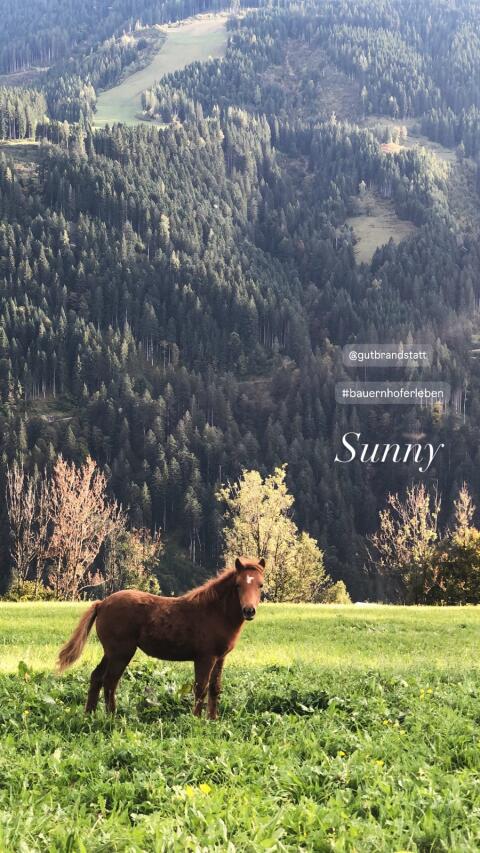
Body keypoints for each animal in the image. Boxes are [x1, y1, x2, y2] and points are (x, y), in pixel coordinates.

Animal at [57, 556, 265, 719]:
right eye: (238, 585)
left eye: (260, 585)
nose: (249, 611)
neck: (214, 612)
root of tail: (101, 604)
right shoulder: (205, 657)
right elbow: (201, 688)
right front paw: (196, 719)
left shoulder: (220, 657)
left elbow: (215, 688)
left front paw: (212, 720)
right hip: (121, 653)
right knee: (110, 681)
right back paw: (112, 717)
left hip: (110, 652)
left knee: (97, 677)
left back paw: (89, 714)